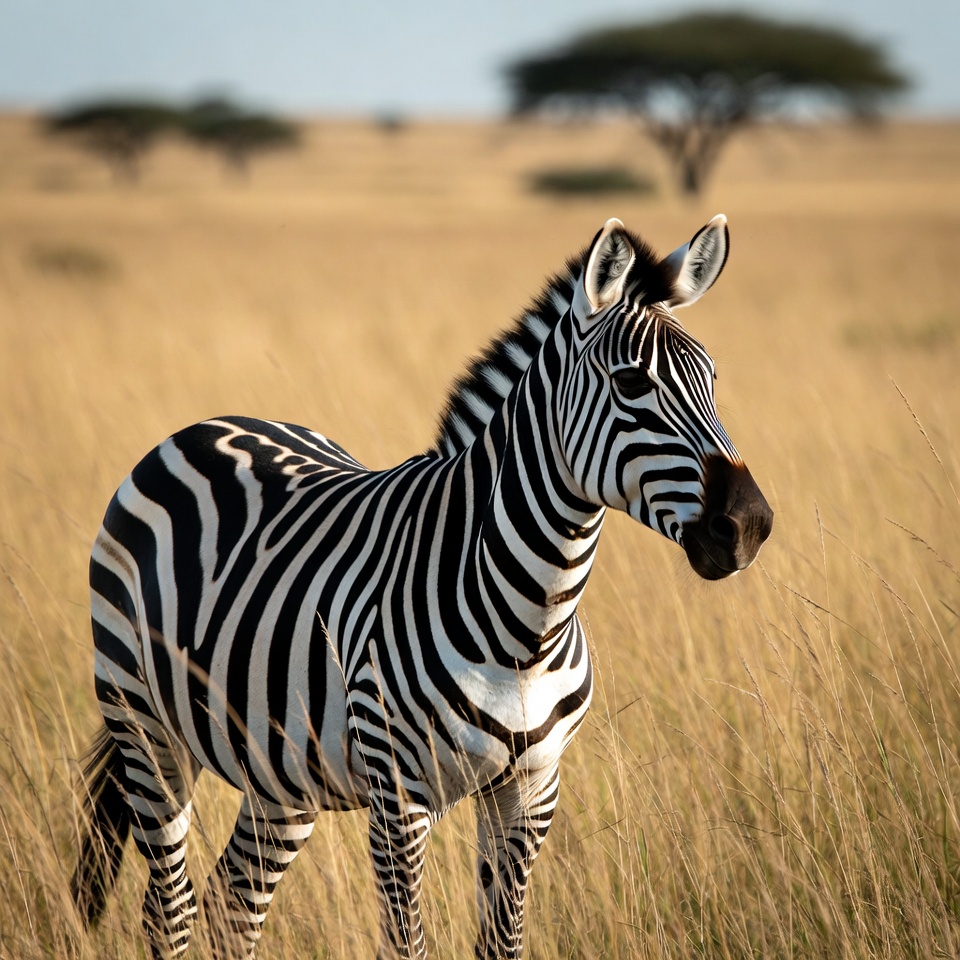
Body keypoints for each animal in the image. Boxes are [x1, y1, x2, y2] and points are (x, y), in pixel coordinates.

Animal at [72, 214, 772, 960]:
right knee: (170, 909)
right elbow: (407, 944)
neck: (528, 625)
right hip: (144, 722)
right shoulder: (400, 799)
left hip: (279, 769)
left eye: (712, 380)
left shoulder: (531, 790)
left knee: (231, 909)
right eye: (631, 383)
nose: (750, 525)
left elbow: (502, 941)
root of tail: (211, 424)